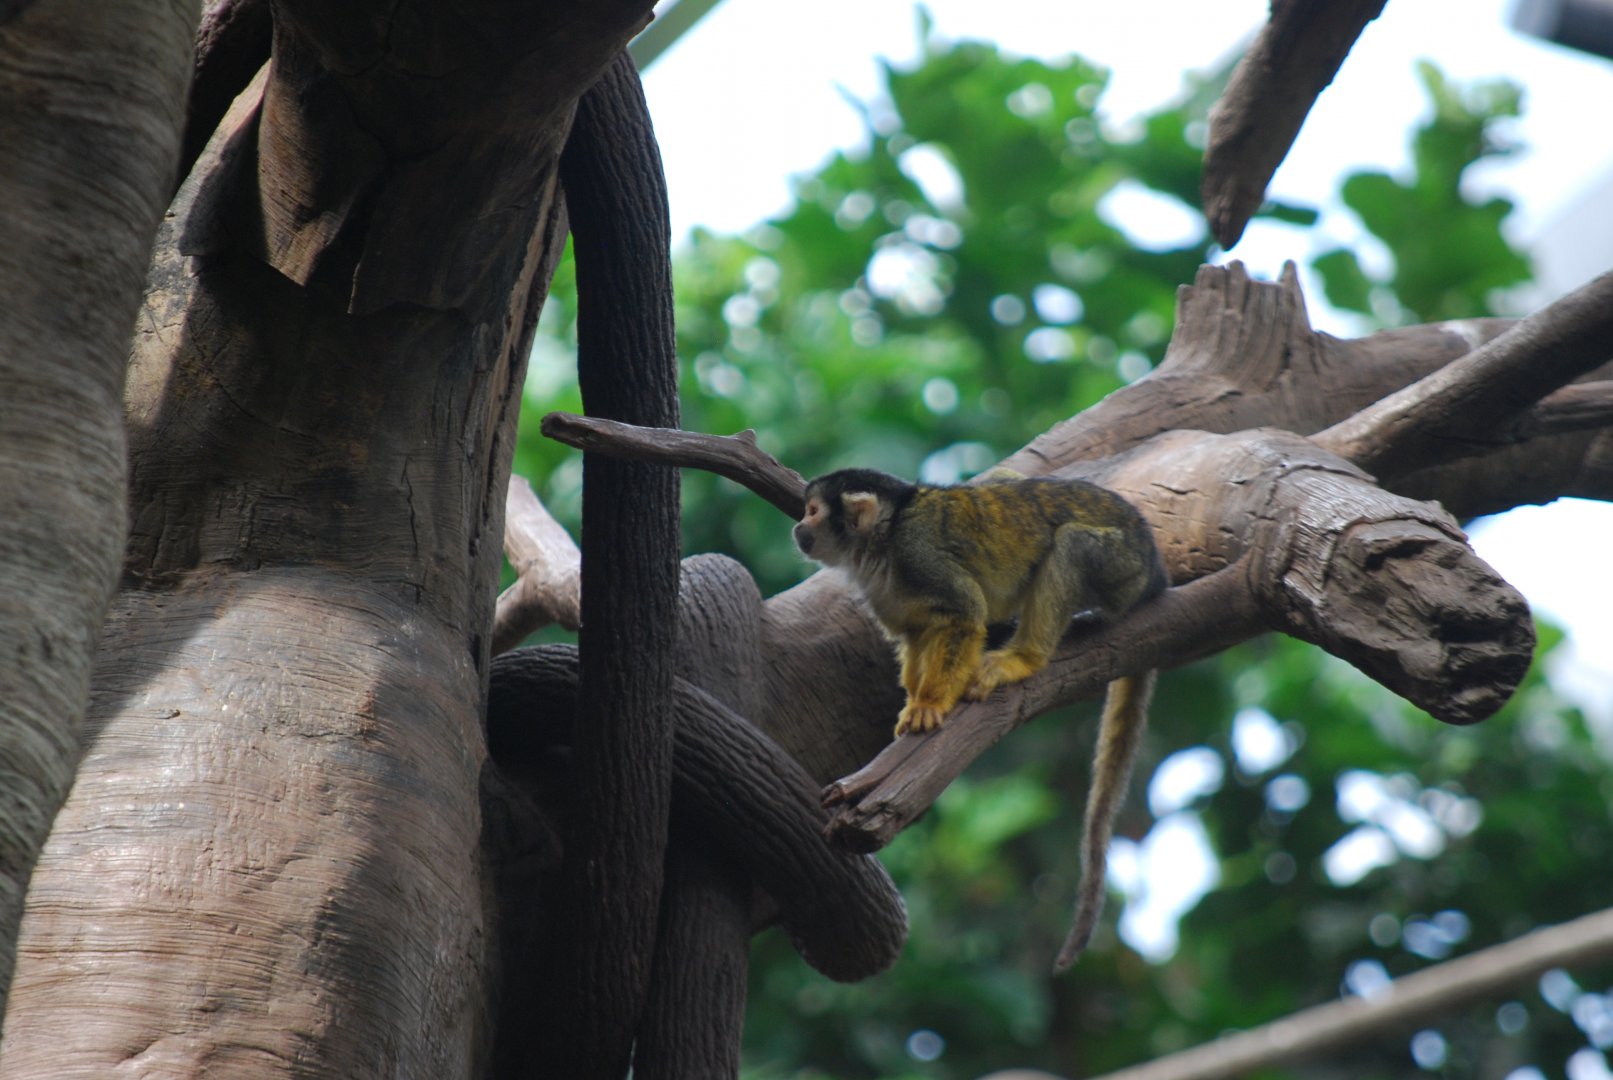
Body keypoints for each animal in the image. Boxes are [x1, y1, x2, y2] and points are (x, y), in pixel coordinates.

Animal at [794, 467, 1167, 971]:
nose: (799, 526)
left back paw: (1024, 657)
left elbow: (964, 615)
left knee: (1071, 544)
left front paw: (931, 703)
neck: (883, 540)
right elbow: (917, 631)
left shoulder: (919, 555)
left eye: (814, 511)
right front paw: (914, 700)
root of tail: (1155, 571)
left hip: (1121, 565)